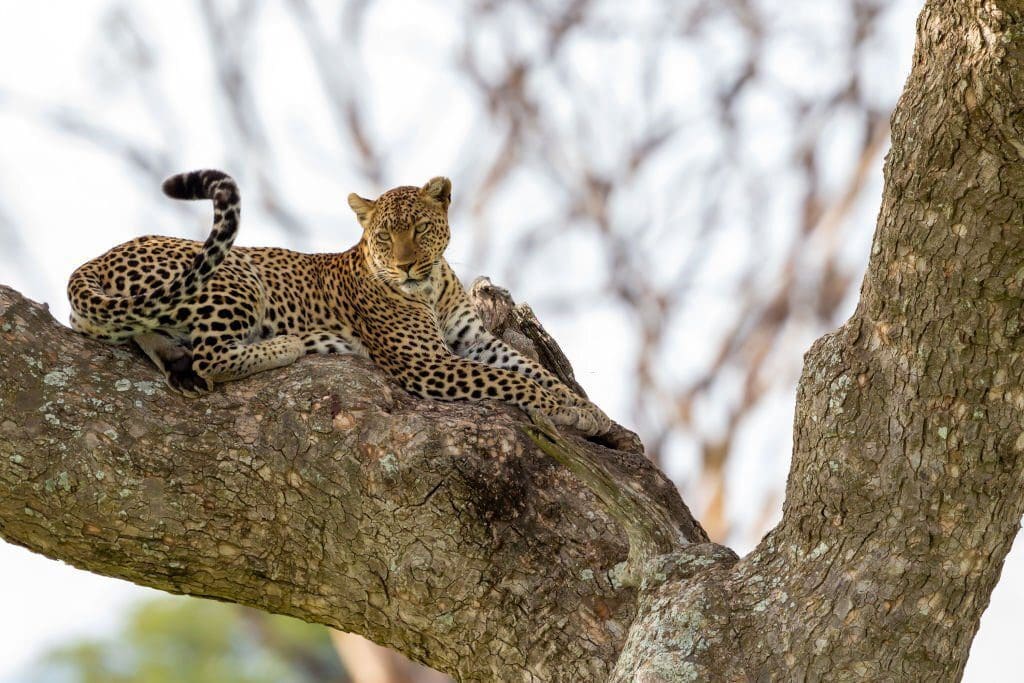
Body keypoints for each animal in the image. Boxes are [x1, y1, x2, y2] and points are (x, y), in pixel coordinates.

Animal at [68, 174, 610, 436]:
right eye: (384, 236)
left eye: (420, 228)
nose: (407, 266)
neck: (430, 288)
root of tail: (95, 259)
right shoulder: (426, 362)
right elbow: (514, 382)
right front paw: (565, 410)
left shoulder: (472, 340)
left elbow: (527, 368)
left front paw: (591, 411)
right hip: (234, 271)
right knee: (212, 357)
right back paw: (287, 345)